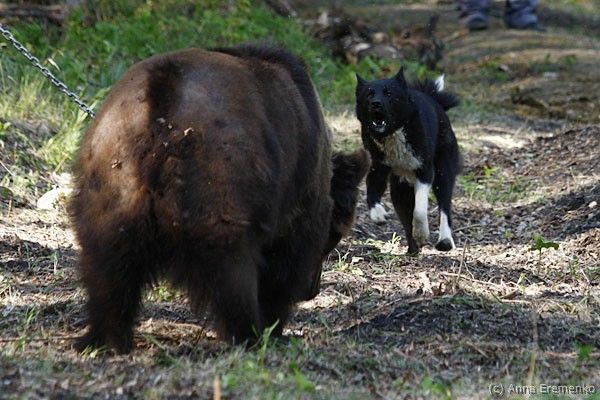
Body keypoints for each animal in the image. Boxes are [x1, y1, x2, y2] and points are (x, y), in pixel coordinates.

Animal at [70, 45, 368, 353]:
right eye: (334, 237)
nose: (312, 290)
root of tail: (160, 105)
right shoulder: (301, 189)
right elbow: (286, 260)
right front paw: (275, 326)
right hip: (219, 171)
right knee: (231, 266)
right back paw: (248, 333)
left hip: (112, 176)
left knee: (107, 262)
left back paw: (105, 337)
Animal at [355, 67, 460, 255]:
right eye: (369, 94)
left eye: (388, 93)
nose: (376, 103)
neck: (394, 134)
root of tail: (435, 99)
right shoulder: (379, 168)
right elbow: (371, 189)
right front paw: (378, 213)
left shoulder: (425, 172)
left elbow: (419, 211)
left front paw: (422, 233)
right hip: (399, 188)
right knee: (404, 215)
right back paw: (413, 249)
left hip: (443, 174)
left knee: (445, 207)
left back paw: (445, 240)